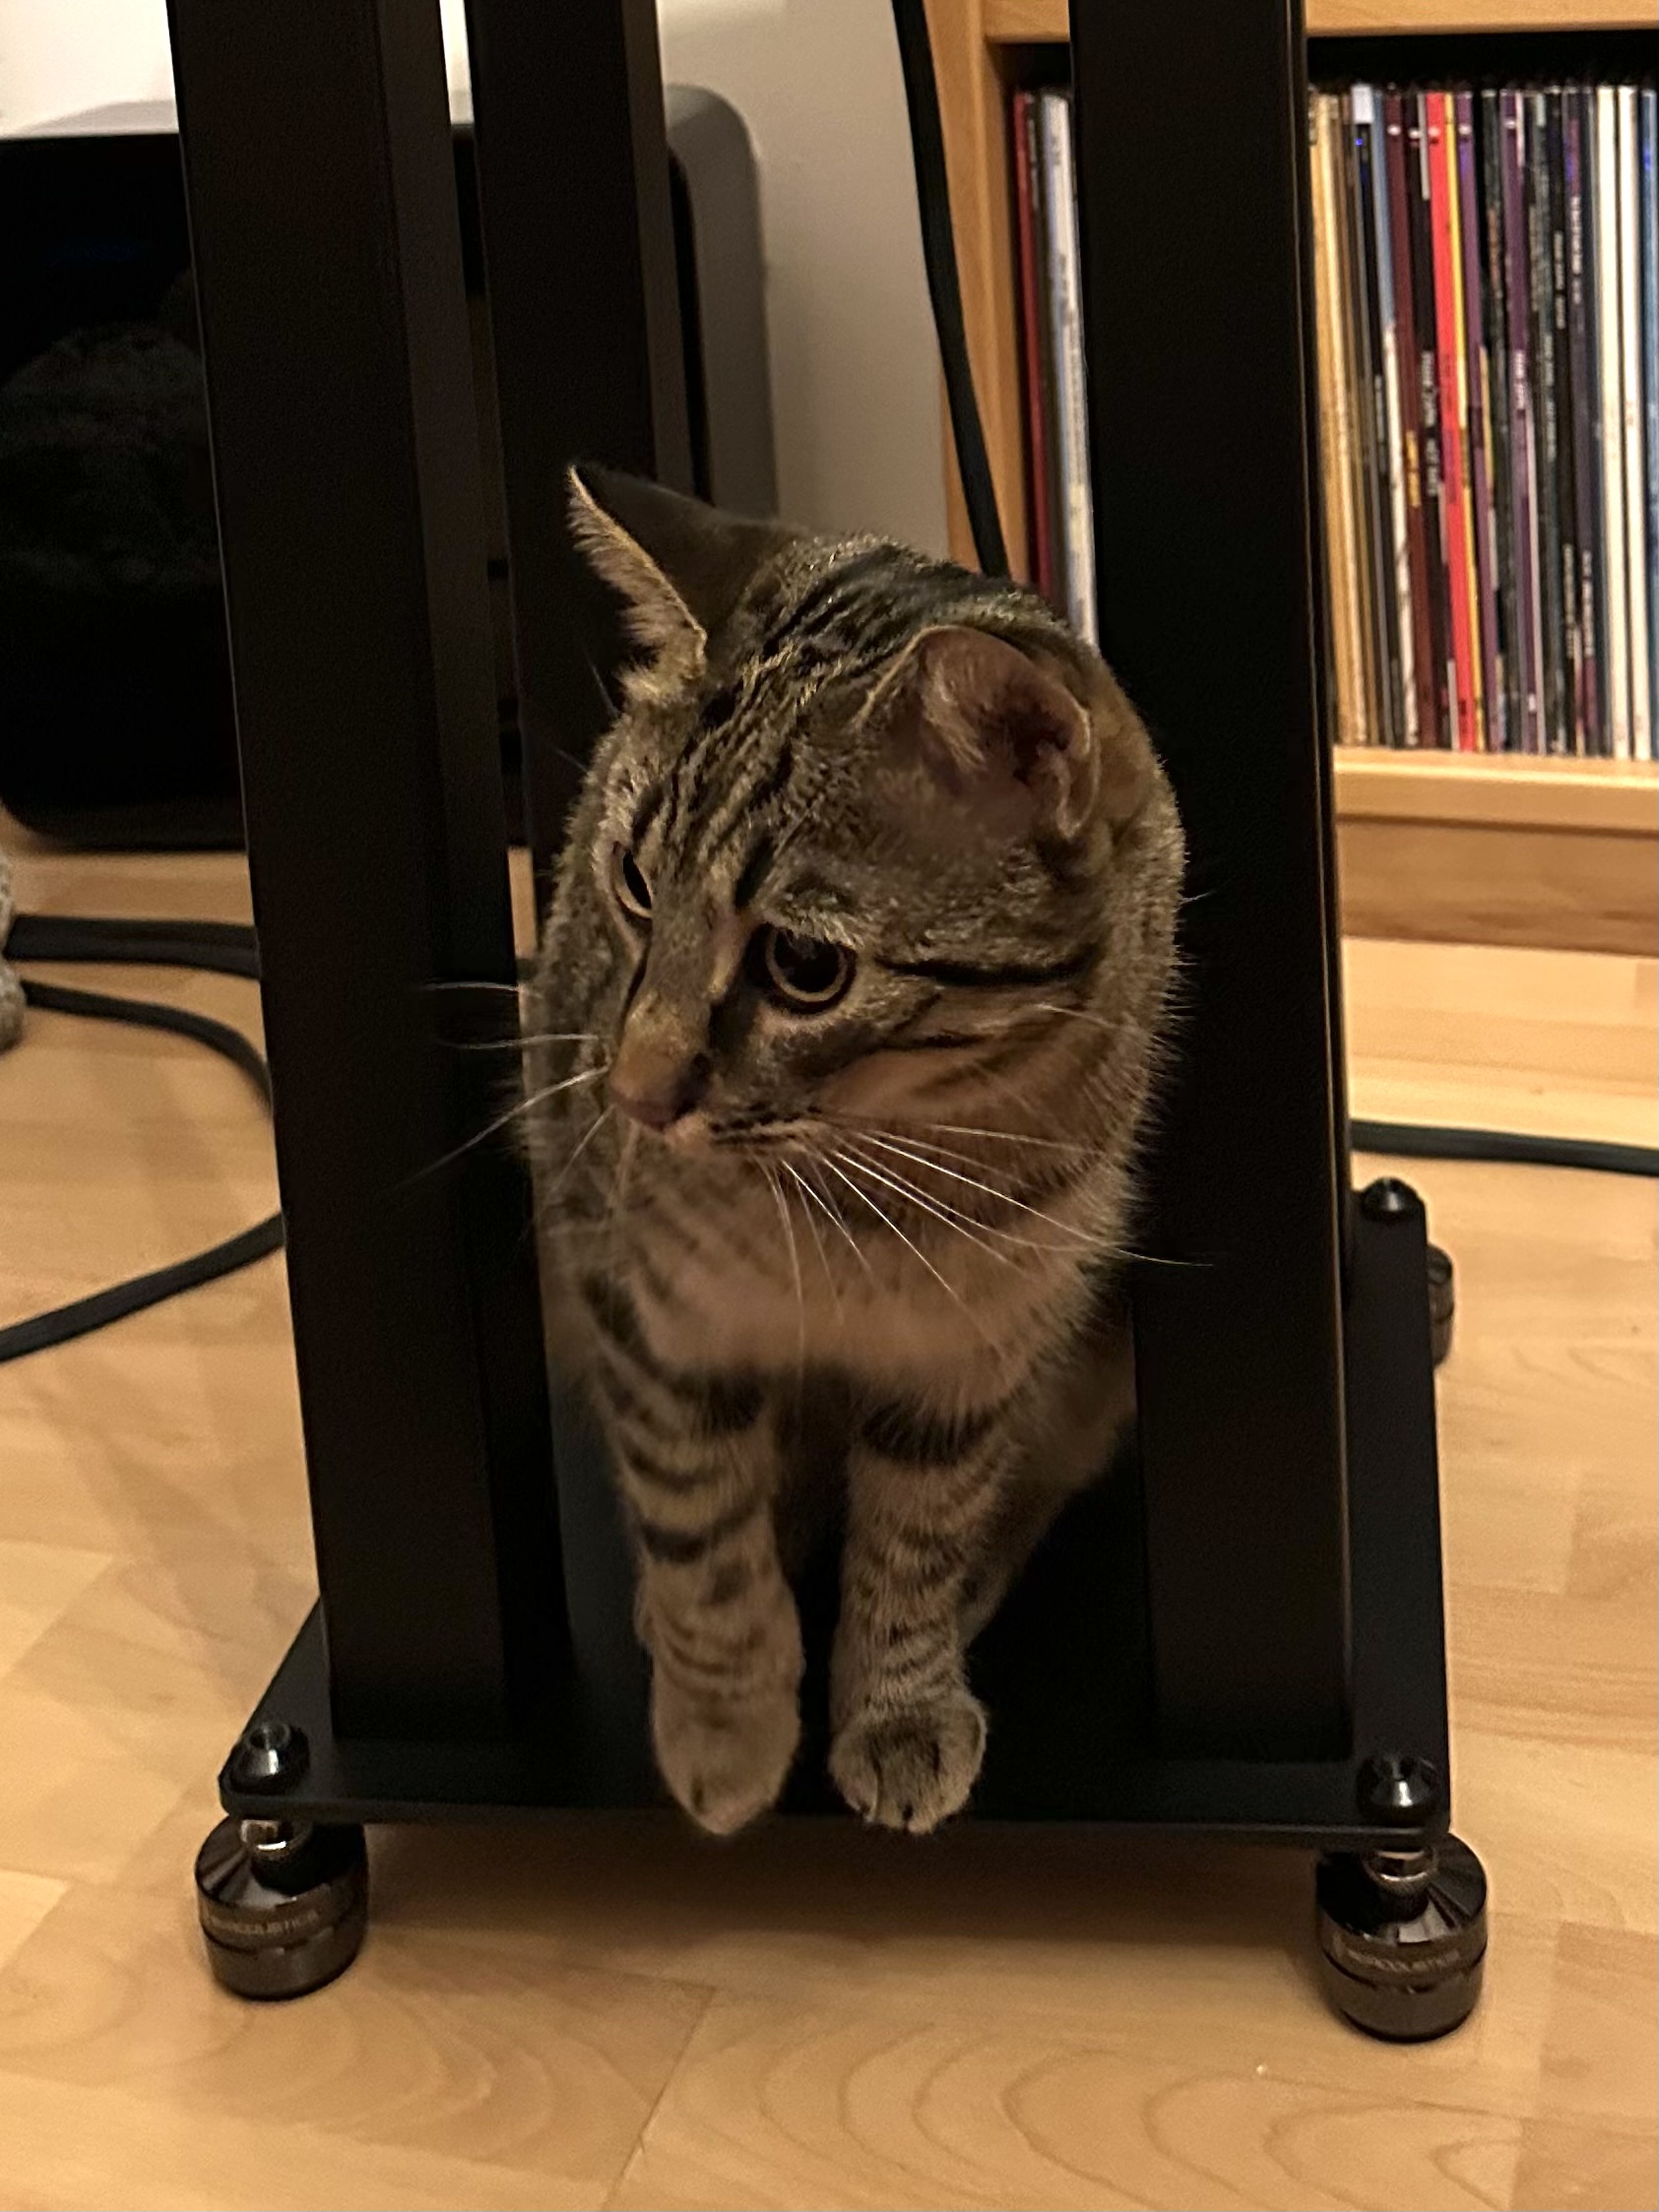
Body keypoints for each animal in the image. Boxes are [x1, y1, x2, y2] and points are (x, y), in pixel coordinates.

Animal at [524, 465, 1183, 1837]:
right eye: (631, 883)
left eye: (804, 967)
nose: (632, 1093)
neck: (855, 1198)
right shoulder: (651, 1322)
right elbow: (698, 1528)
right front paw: (724, 1720)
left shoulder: (975, 1354)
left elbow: (921, 1537)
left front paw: (894, 1703)